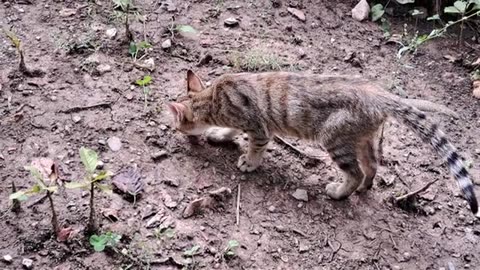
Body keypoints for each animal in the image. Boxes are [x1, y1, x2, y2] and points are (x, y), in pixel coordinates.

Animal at [167, 70, 478, 217]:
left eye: (177, 123)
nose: (175, 130)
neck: (214, 99)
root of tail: (379, 94)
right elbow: (230, 131)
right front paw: (219, 135)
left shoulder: (259, 129)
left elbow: (254, 147)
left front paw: (248, 163)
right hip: (362, 138)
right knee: (372, 167)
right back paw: (364, 188)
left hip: (335, 139)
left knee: (355, 172)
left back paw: (339, 192)